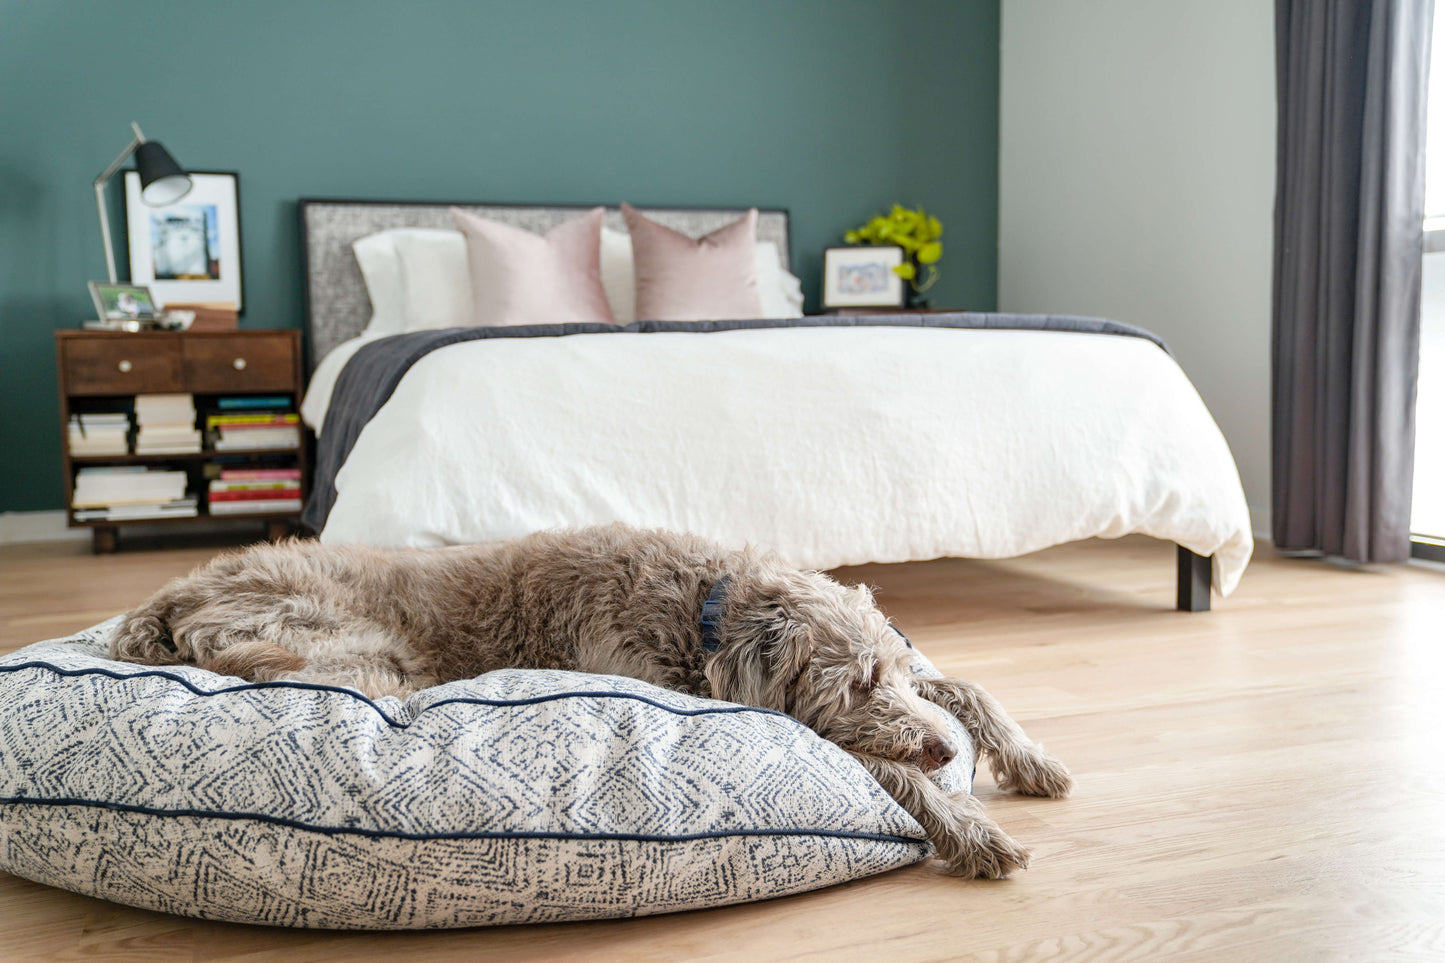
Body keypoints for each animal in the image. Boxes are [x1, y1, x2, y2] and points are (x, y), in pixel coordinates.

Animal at [112, 520, 1069, 873]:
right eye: (855, 683)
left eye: (895, 669)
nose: (945, 751)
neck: (706, 614)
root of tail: (173, 596)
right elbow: (879, 767)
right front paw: (972, 828)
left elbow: (964, 682)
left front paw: (1027, 756)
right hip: (359, 655)